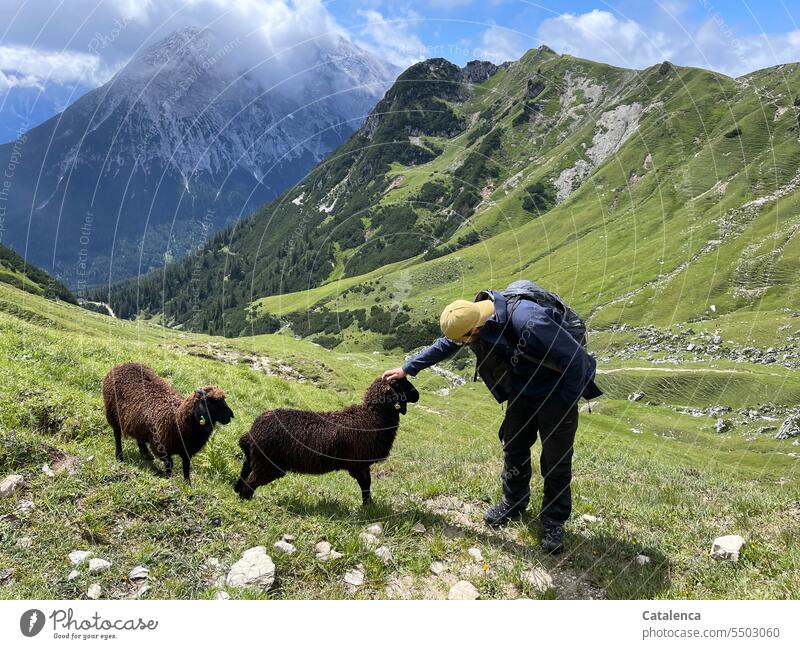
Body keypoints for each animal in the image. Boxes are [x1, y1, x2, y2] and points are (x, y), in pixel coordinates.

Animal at [101, 364, 233, 480]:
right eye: (212, 402)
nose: (230, 416)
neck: (177, 419)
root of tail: (123, 364)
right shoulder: (161, 447)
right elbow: (170, 465)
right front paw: (169, 479)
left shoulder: (186, 451)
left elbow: (186, 468)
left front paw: (187, 485)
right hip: (113, 415)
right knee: (117, 436)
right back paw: (119, 456)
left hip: (138, 421)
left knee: (139, 437)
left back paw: (146, 454)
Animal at [233, 378, 418, 504]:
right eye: (401, 384)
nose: (417, 395)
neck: (372, 416)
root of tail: (253, 431)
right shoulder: (359, 464)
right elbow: (365, 484)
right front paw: (368, 506)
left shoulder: (361, 464)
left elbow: (367, 484)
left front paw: (368, 505)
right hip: (269, 464)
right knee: (251, 482)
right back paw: (246, 500)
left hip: (257, 458)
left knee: (246, 468)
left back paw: (236, 489)